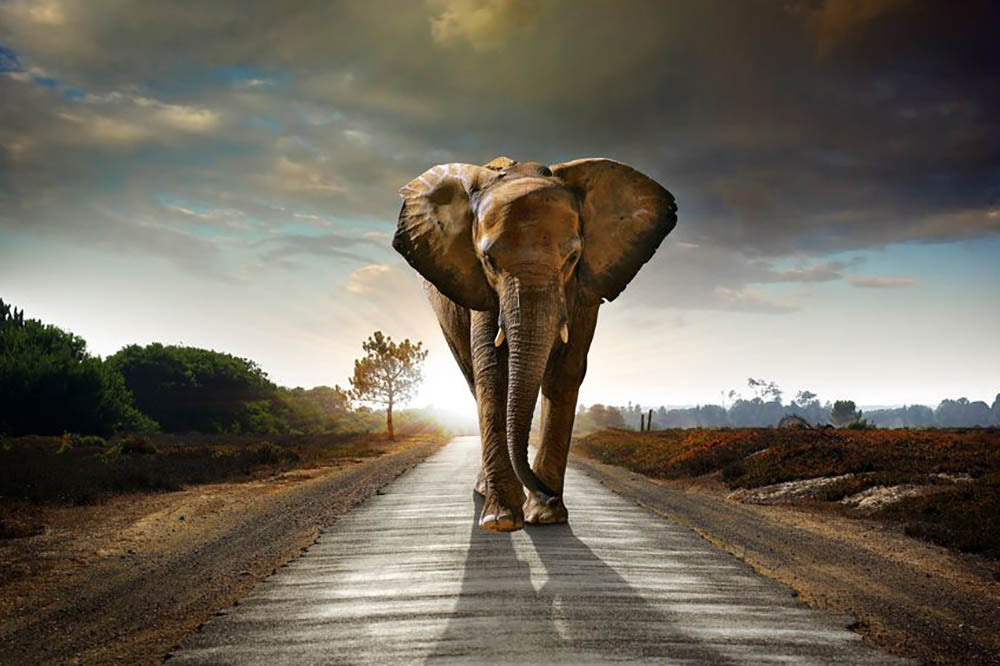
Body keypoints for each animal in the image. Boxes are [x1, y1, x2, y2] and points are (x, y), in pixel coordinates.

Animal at [393, 156, 677, 531]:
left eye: (572, 258)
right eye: (489, 261)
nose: (547, 493)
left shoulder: (584, 287)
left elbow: (565, 371)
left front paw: (546, 516)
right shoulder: (481, 288)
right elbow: (493, 371)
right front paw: (501, 520)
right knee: (473, 378)